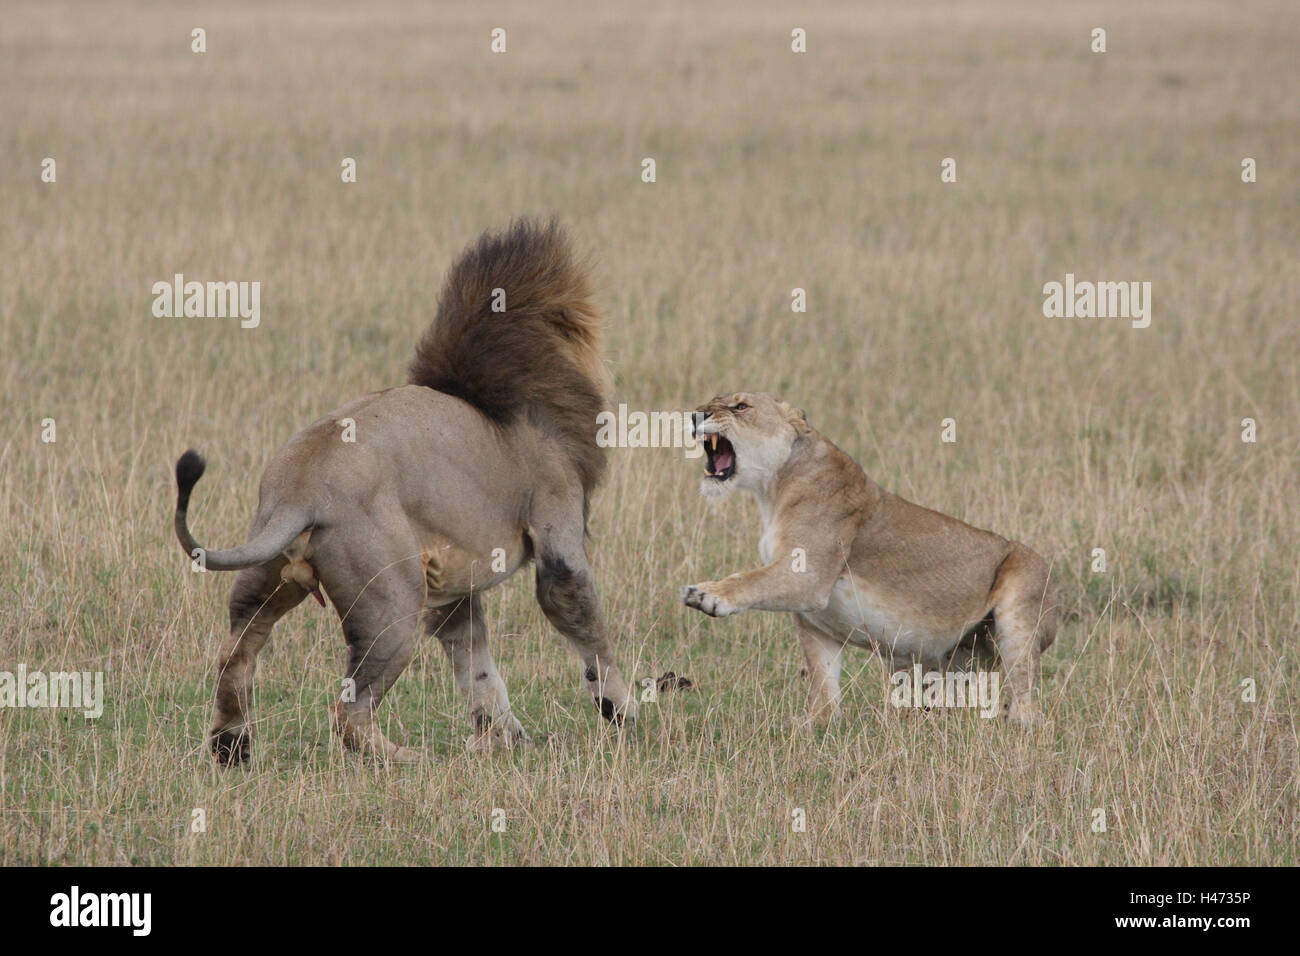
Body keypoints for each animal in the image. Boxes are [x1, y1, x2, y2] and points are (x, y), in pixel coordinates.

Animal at [173, 219, 638, 765]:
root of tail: (299, 492)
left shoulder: (453, 586)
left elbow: (476, 666)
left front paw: (504, 737)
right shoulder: (558, 531)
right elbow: (588, 628)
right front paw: (623, 709)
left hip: (265, 575)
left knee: (235, 654)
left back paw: (233, 745)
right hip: (392, 604)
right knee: (348, 712)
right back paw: (407, 759)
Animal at [680, 392, 1061, 725]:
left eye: (740, 406)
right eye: (710, 400)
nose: (695, 415)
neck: (772, 489)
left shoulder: (808, 575)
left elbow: (750, 579)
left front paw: (707, 594)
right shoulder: (813, 616)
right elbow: (823, 675)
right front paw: (818, 723)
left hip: (1022, 598)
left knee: (1028, 700)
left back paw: (1016, 724)